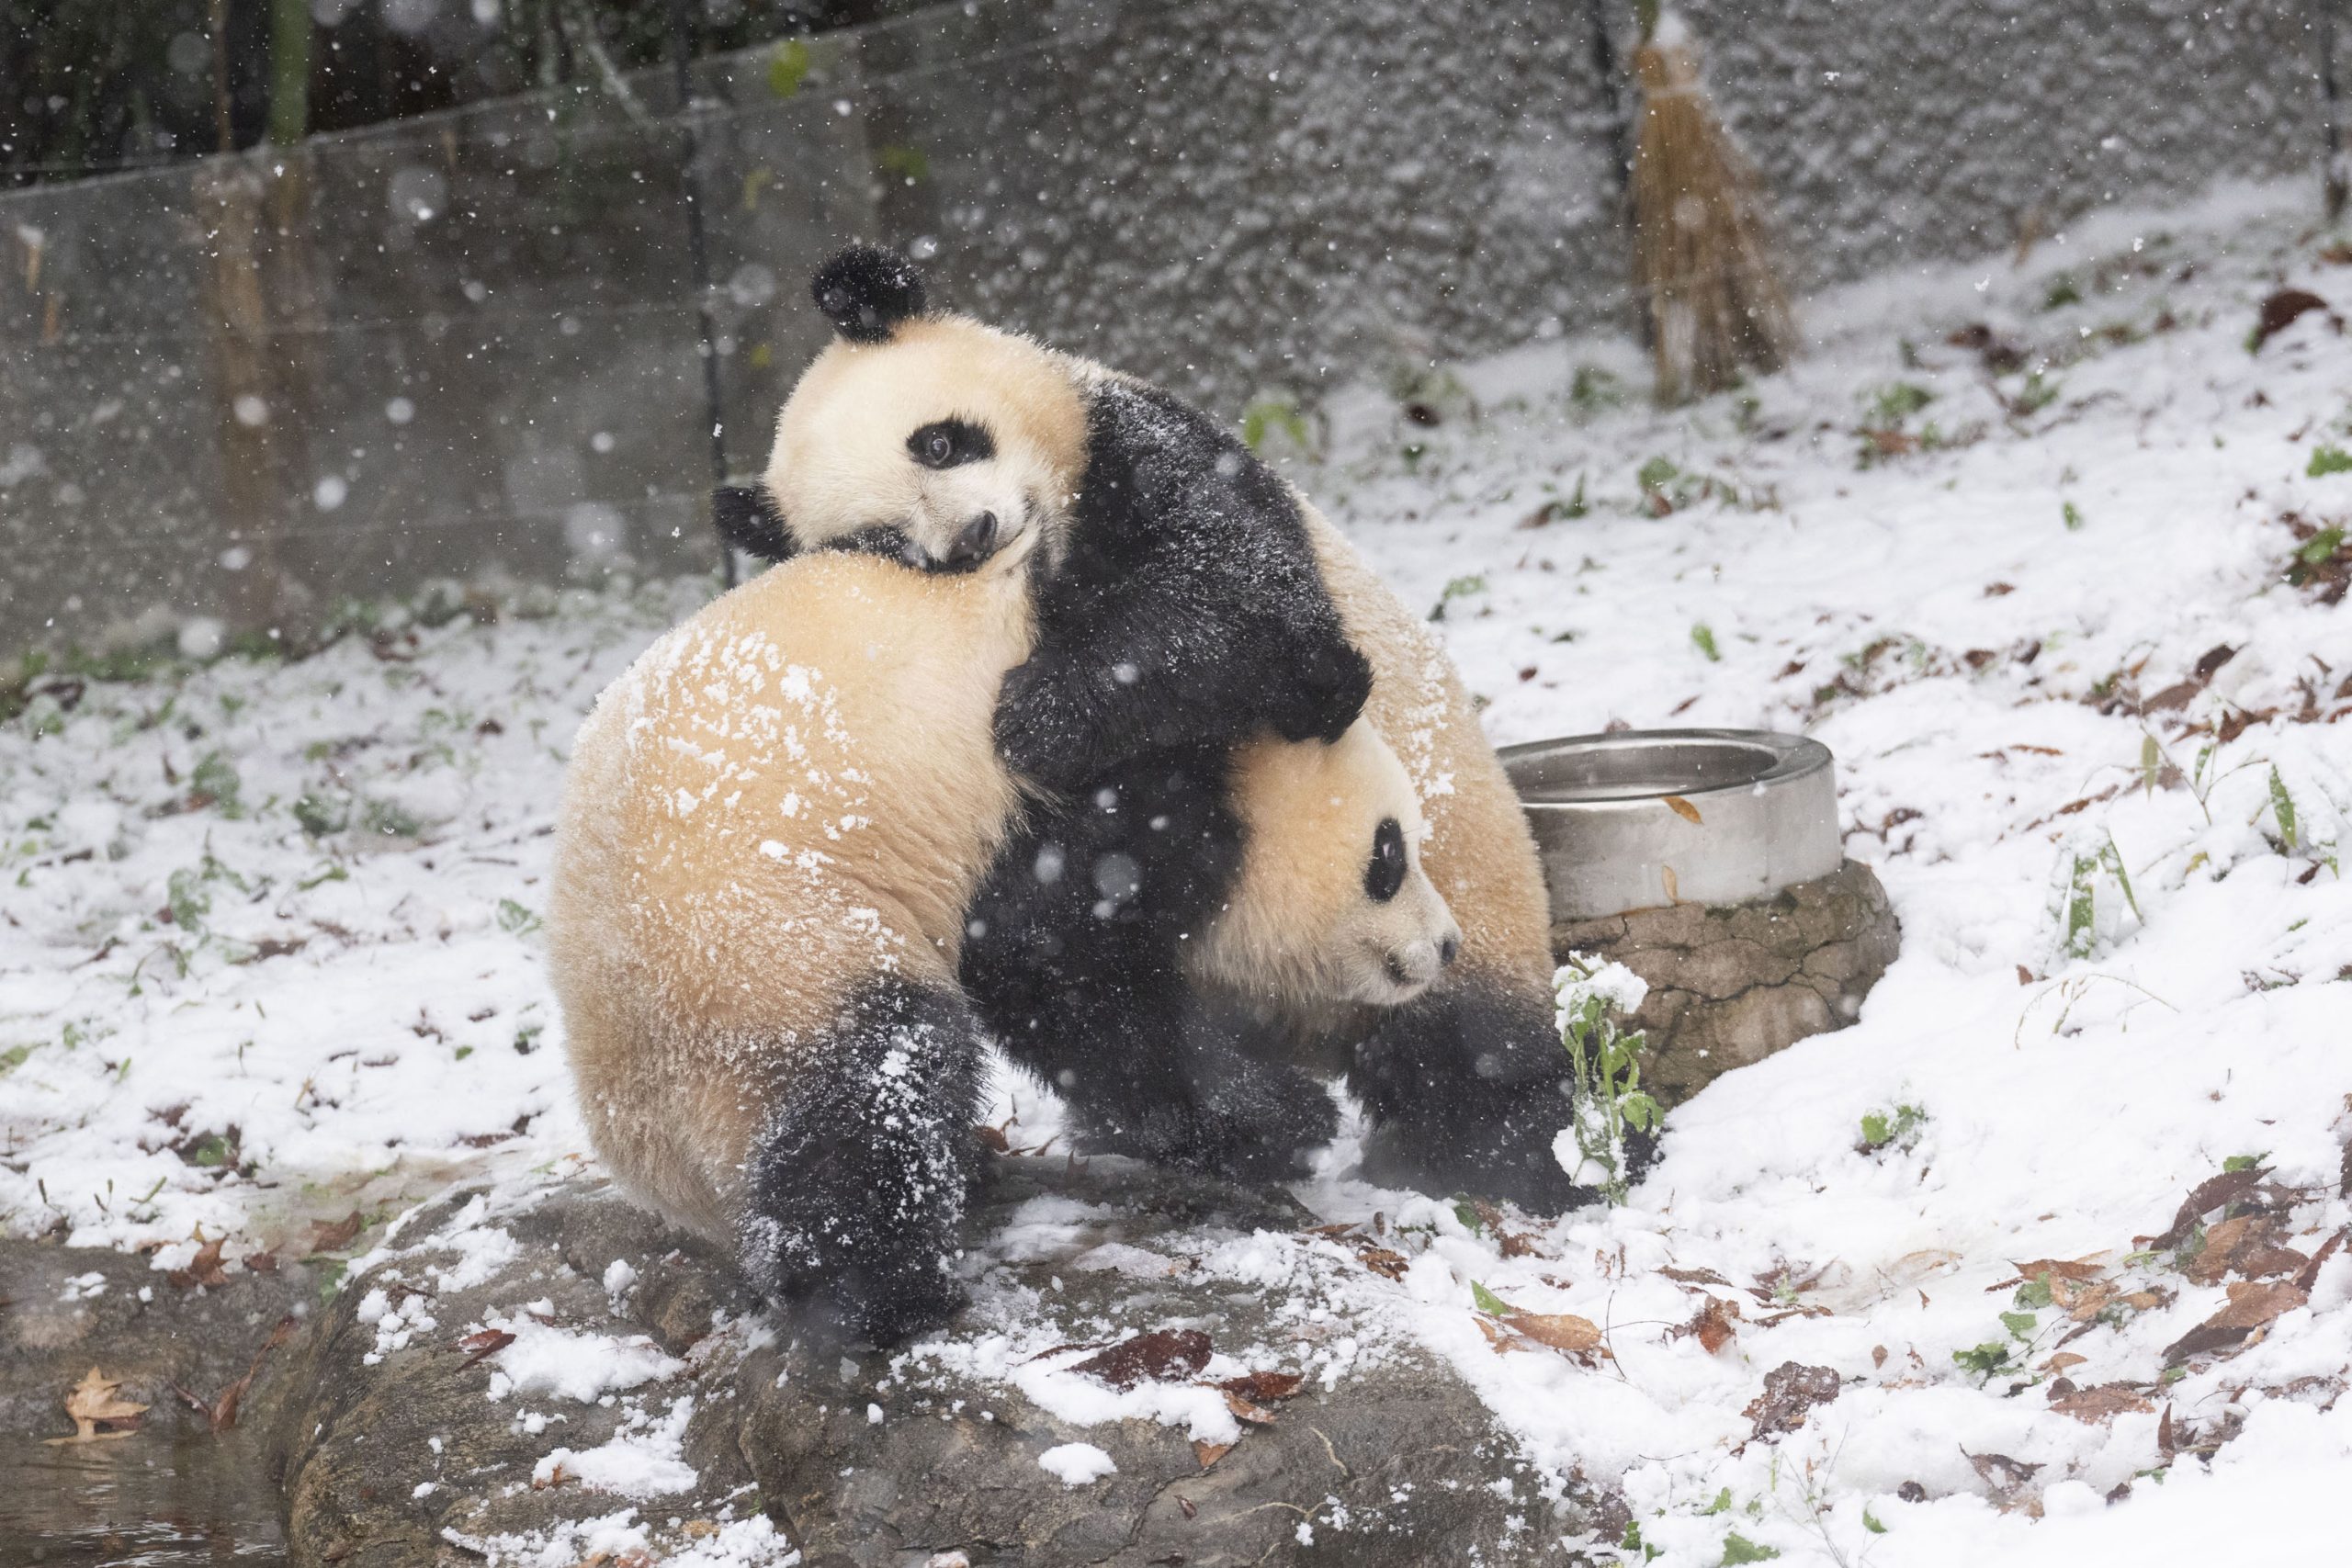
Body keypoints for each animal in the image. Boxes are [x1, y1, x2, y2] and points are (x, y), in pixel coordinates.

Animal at [557, 543, 1458, 1354]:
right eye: (1388, 857)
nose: (1446, 945)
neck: (1242, 762)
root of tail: (652, 1138)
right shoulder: (1078, 804)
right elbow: (1055, 972)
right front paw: (1281, 1116)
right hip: (770, 948)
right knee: (876, 1089)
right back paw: (882, 1294)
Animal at [715, 251, 1599, 1222]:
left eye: (939, 442)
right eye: (884, 539)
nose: (977, 535)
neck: (1056, 561)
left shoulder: (1148, 452)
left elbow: (1246, 609)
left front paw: (1046, 716)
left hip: (1461, 910)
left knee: (1473, 1060)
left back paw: (1528, 1156)